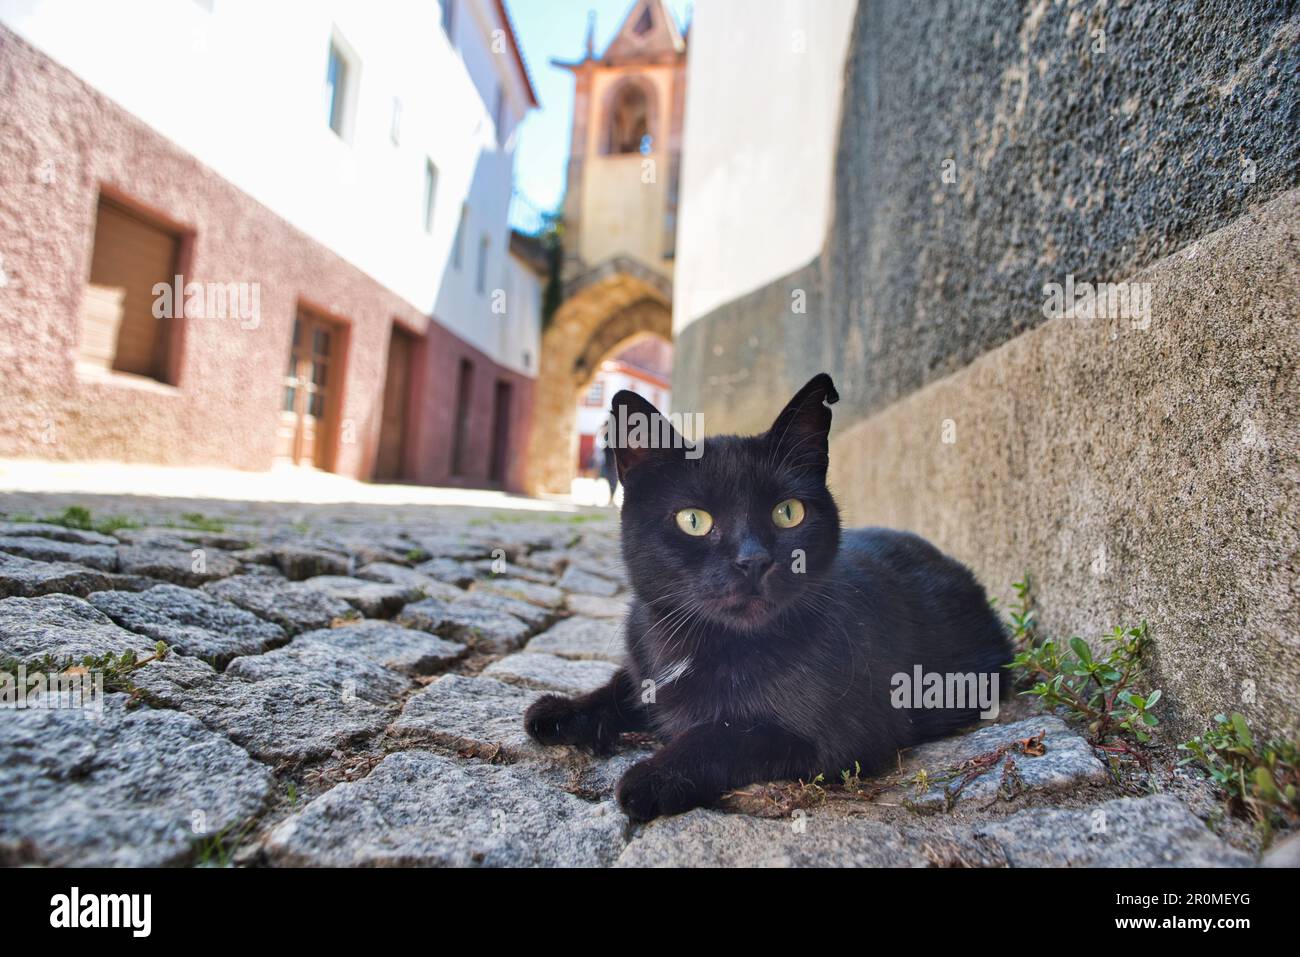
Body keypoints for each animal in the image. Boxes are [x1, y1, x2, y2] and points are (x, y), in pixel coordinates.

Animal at [522, 374, 1008, 821]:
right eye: (693, 520)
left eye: (788, 512)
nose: (753, 560)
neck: (703, 644)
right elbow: (624, 685)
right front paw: (559, 711)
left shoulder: (838, 740)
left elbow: (725, 735)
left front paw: (651, 777)